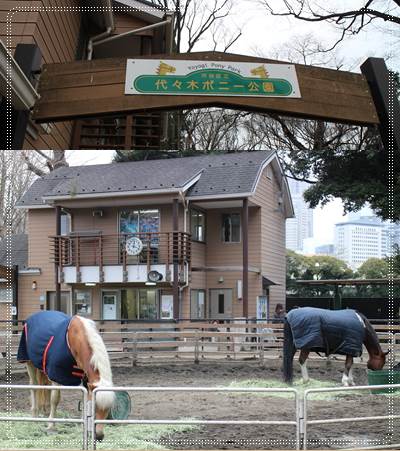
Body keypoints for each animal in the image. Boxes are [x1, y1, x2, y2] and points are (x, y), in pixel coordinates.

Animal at [18, 310, 115, 442]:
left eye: (109, 408)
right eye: (94, 406)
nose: (99, 436)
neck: (74, 338)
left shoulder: (85, 380)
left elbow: (83, 399)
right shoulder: (56, 375)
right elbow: (55, 399)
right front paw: (51, 425)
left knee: (45, 387)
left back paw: (45, 411)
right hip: (29, 363)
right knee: (34, 386)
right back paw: (34, 415)